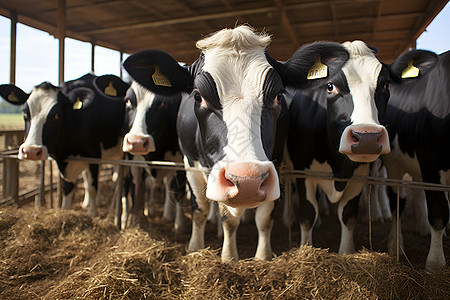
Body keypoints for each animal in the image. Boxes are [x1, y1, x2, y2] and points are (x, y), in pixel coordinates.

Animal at [0, 74, 130, 217]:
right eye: (25, 113)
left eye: (57, 115)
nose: (31, 152)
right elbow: (68, 188)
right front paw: (65, 211)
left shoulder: (93, 155)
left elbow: (92, 187)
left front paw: (92, 215)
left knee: (121, 179)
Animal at [124, 25, 352, 260]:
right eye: (198, 97)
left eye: (279, 96)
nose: (247, 181)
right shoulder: (189, 163)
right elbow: (205, 212)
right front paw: (208, 250)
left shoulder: (276, 163)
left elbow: (263, 218)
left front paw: (261, 256)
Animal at [286, 40, 438, 258]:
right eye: (330, 86)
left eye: (385, 85)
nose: (368, 138)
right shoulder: (302, 170)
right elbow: (307, 213)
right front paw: (305, 249)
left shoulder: (361, 172)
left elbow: (348, 213)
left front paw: (346, 252)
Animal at [380, 49, 446, 272]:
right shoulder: (431, 163)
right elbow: (438, 211)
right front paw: (435, 263)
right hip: (393, 162)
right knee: (397, 201)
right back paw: (396, 245)